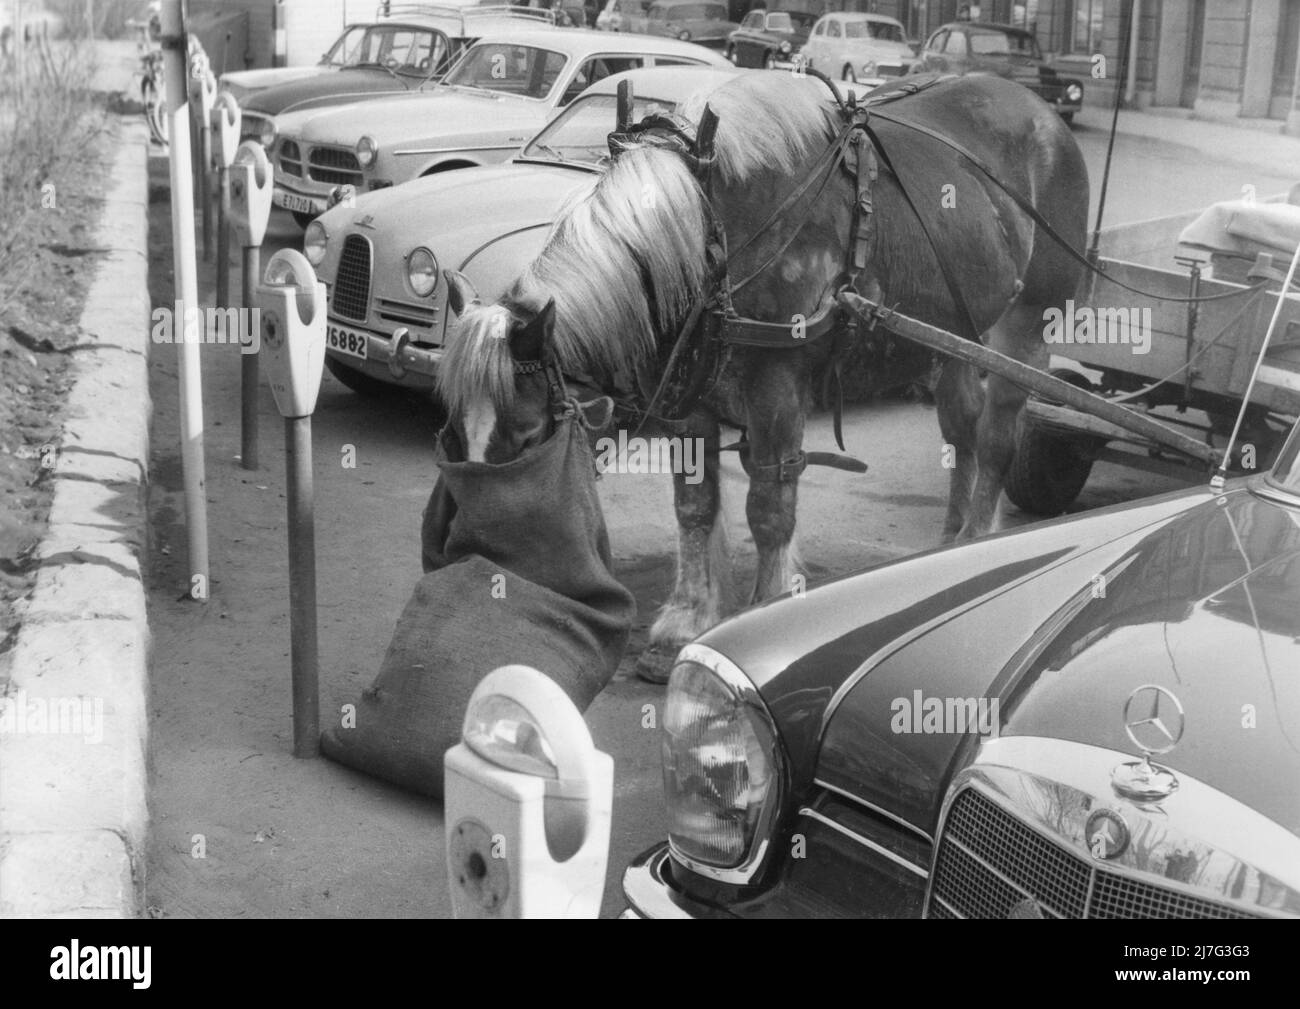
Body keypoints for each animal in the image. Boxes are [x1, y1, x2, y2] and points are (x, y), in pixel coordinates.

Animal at [434, 72, 1086, 676]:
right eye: (456, 433)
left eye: (525, 438)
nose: (483, 568)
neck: (713, 229)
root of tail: (1038, 110)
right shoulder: (690, 397)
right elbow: (695, 506)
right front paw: (686, 621)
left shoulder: (777, 385)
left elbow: (770, 511)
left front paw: (764, 609)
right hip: (957, 339)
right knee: (962, 432)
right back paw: (950, 547)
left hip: (1024, 330)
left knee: (998, 436)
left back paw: (979, 538)